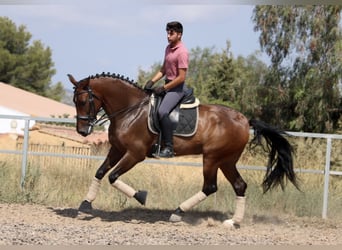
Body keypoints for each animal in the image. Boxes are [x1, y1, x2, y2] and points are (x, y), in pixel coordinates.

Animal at [68, 73, 298, 229]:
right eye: (74, 101)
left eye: (83, 101)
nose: (82, 131)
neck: (131, 110)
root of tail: (244, 120)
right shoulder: (117, 149)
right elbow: (100, 172)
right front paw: (84, 205)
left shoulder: (135, 154)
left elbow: (113, 176)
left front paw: (141, 196)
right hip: (226, 161)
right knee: (239, 186)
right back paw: (233, 222)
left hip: (212, 158)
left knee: (210, 186)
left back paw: (178, 212)